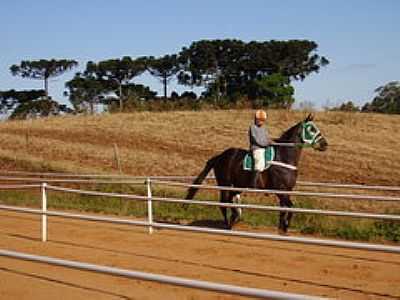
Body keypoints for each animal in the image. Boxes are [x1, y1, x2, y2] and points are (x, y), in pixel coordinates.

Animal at [184, 113, 328, 233]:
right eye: (311, 129)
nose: (325, 144)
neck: (283, 157)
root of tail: (219, 156)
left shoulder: (286, 191)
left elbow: (284, 209)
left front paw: (282, 228)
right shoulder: (280, 191)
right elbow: (291, 208)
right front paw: (286, 226)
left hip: (238, 186)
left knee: (230, 200)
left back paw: (234, 218)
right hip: (225, 184)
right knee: (223, 203)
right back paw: (228, 223)